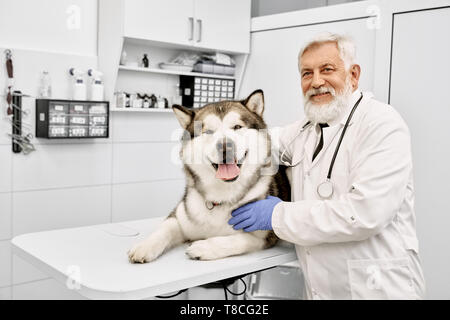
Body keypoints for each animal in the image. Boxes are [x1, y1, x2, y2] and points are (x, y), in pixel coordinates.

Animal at [127, 89, 288, 262]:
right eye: (209, 132)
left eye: (237, 127)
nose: (225, 146)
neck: (222, 196)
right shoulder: (180, 218)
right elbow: (164, 229)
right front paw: (145, 246)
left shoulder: (263, 236)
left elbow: (236, 240)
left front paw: (203, 247)